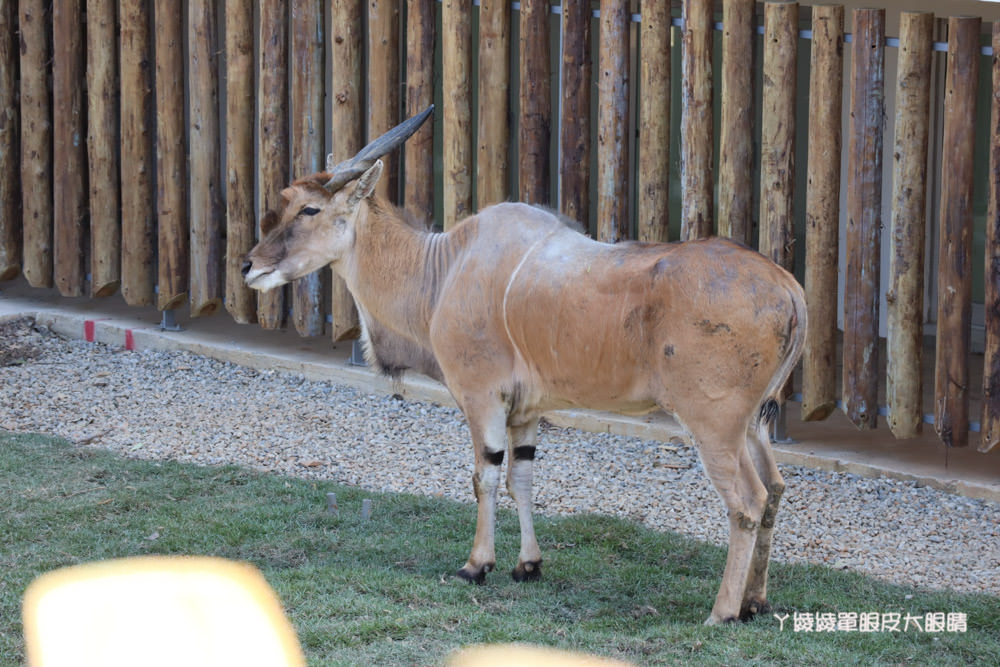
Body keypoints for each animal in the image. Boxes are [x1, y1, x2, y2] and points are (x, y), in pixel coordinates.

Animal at [240, 105, 804, 628]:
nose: (249, 265)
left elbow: (485, 477)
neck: (442, 268)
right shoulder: (527, 412)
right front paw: (527, 565)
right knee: (775, 490)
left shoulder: (480, 397)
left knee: (748, 501)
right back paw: (755, 601)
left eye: (309, 209)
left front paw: (476, 566)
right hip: (752, 425)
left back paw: (722, 612)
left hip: (714, 425)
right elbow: (522, 478)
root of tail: (788, 288)